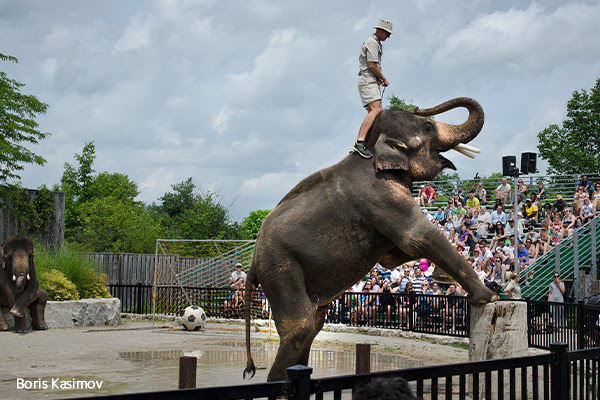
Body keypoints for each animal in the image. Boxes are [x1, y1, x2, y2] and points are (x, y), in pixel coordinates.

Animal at [241, 97, 500, 382]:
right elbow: (418, 238)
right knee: (301, 327)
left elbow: (395, 256)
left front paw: (444, 278)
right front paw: (489, 297)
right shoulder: (380, 196)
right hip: (281, 269)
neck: (373, 151)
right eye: (428, 127)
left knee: (315, 322)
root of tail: (252, 263)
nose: (418, 107)